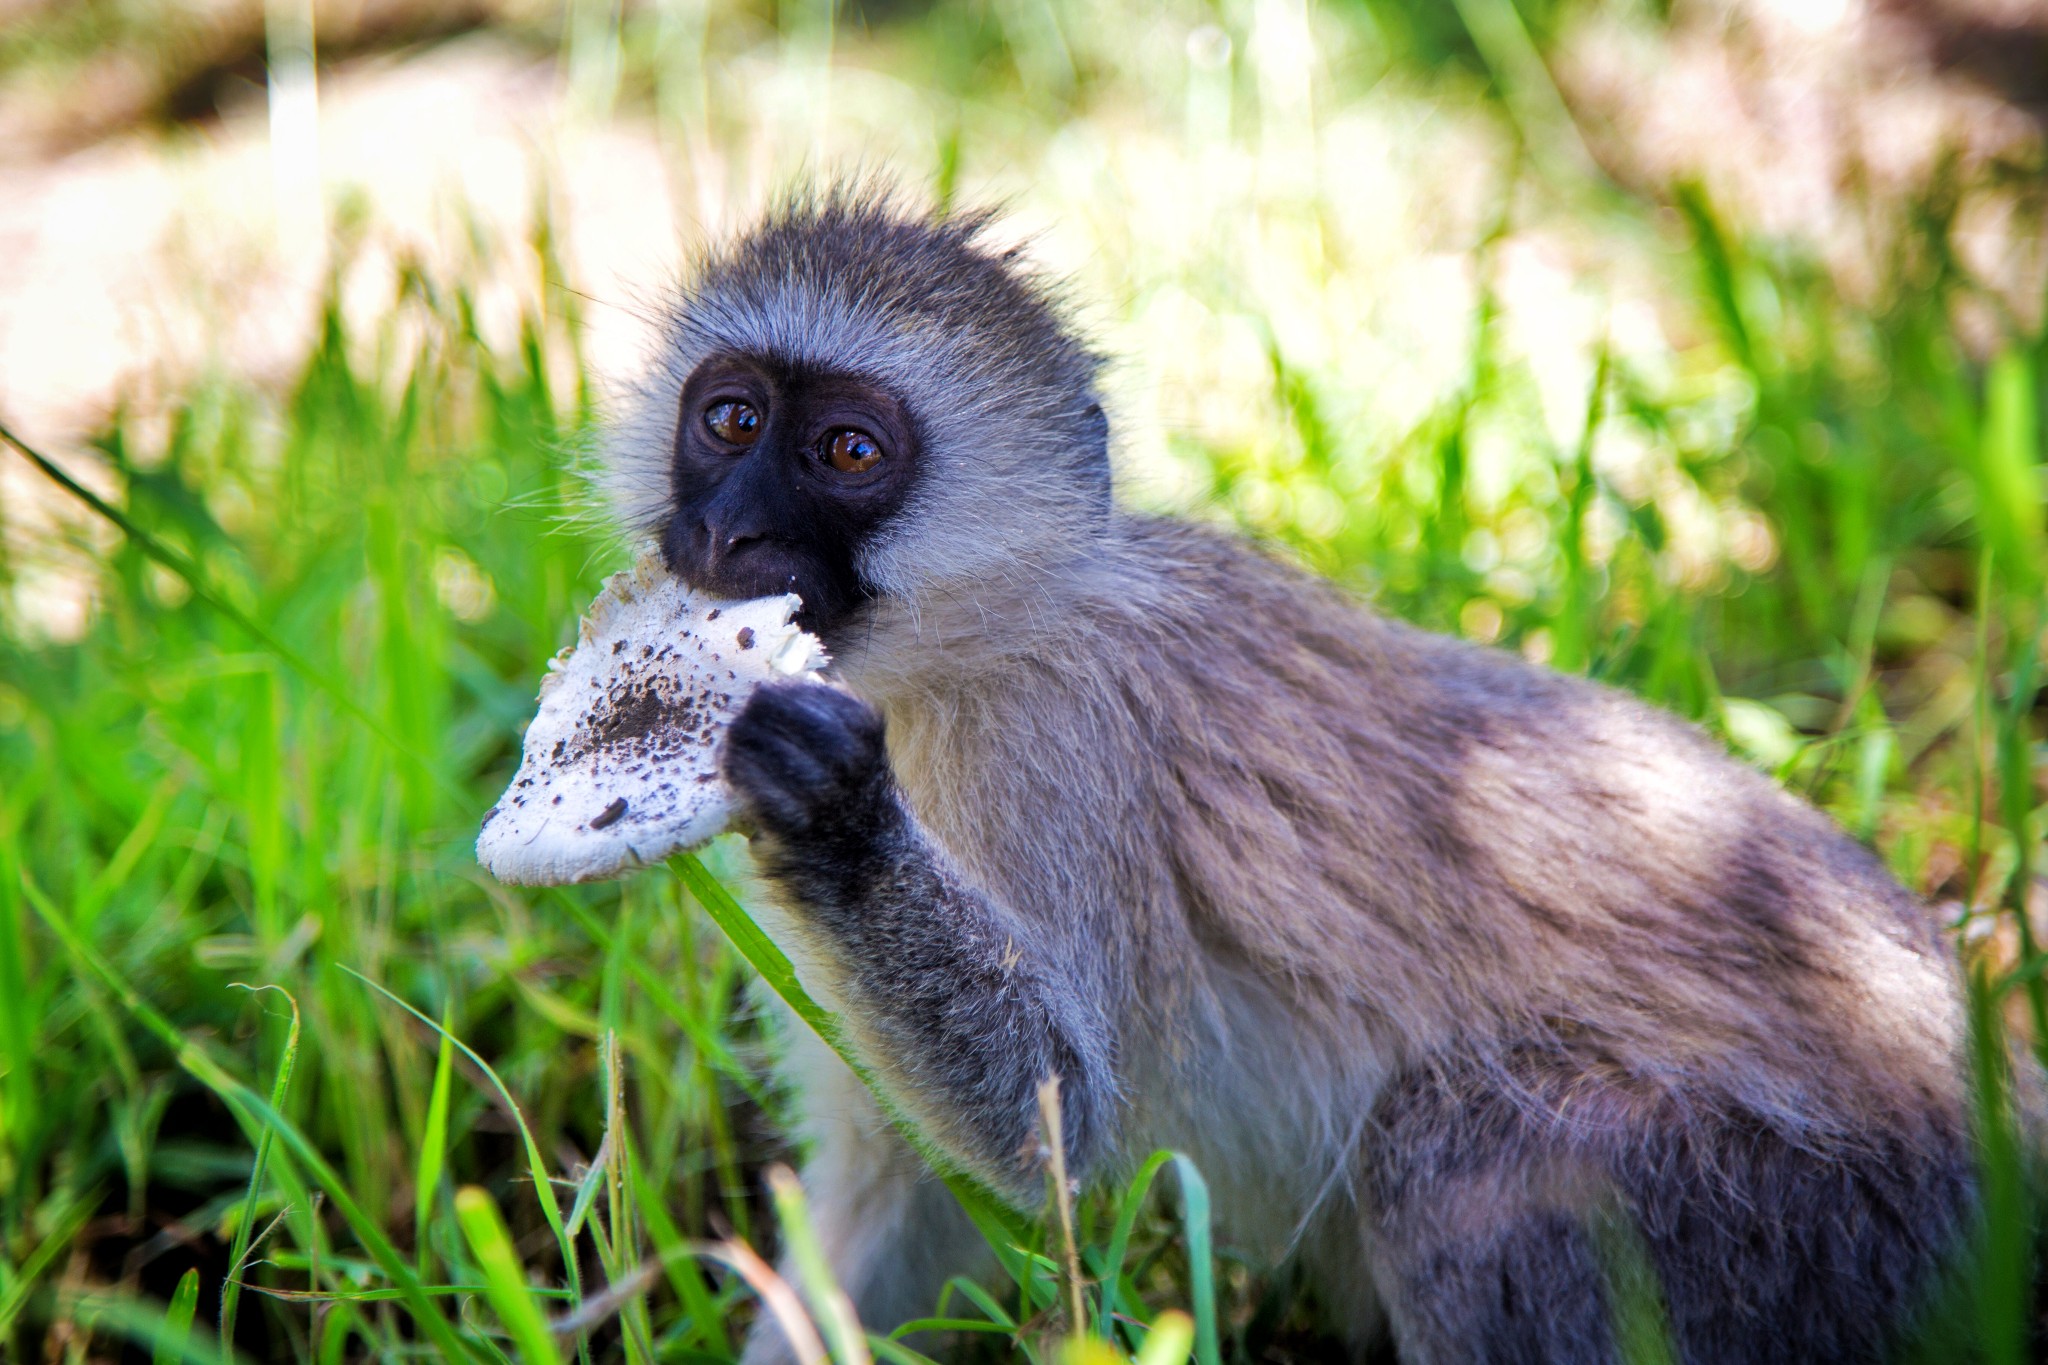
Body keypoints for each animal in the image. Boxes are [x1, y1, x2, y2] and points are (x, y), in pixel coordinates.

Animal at [602, 189, 1966, 1365]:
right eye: (730, 421)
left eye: (845, 449)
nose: (723, 530)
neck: (963, 650)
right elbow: (911, 1197)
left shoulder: (1053, 744)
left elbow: (1057, 1129)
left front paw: (838, 820)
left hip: (1790, 1219)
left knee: (1450, 1155)